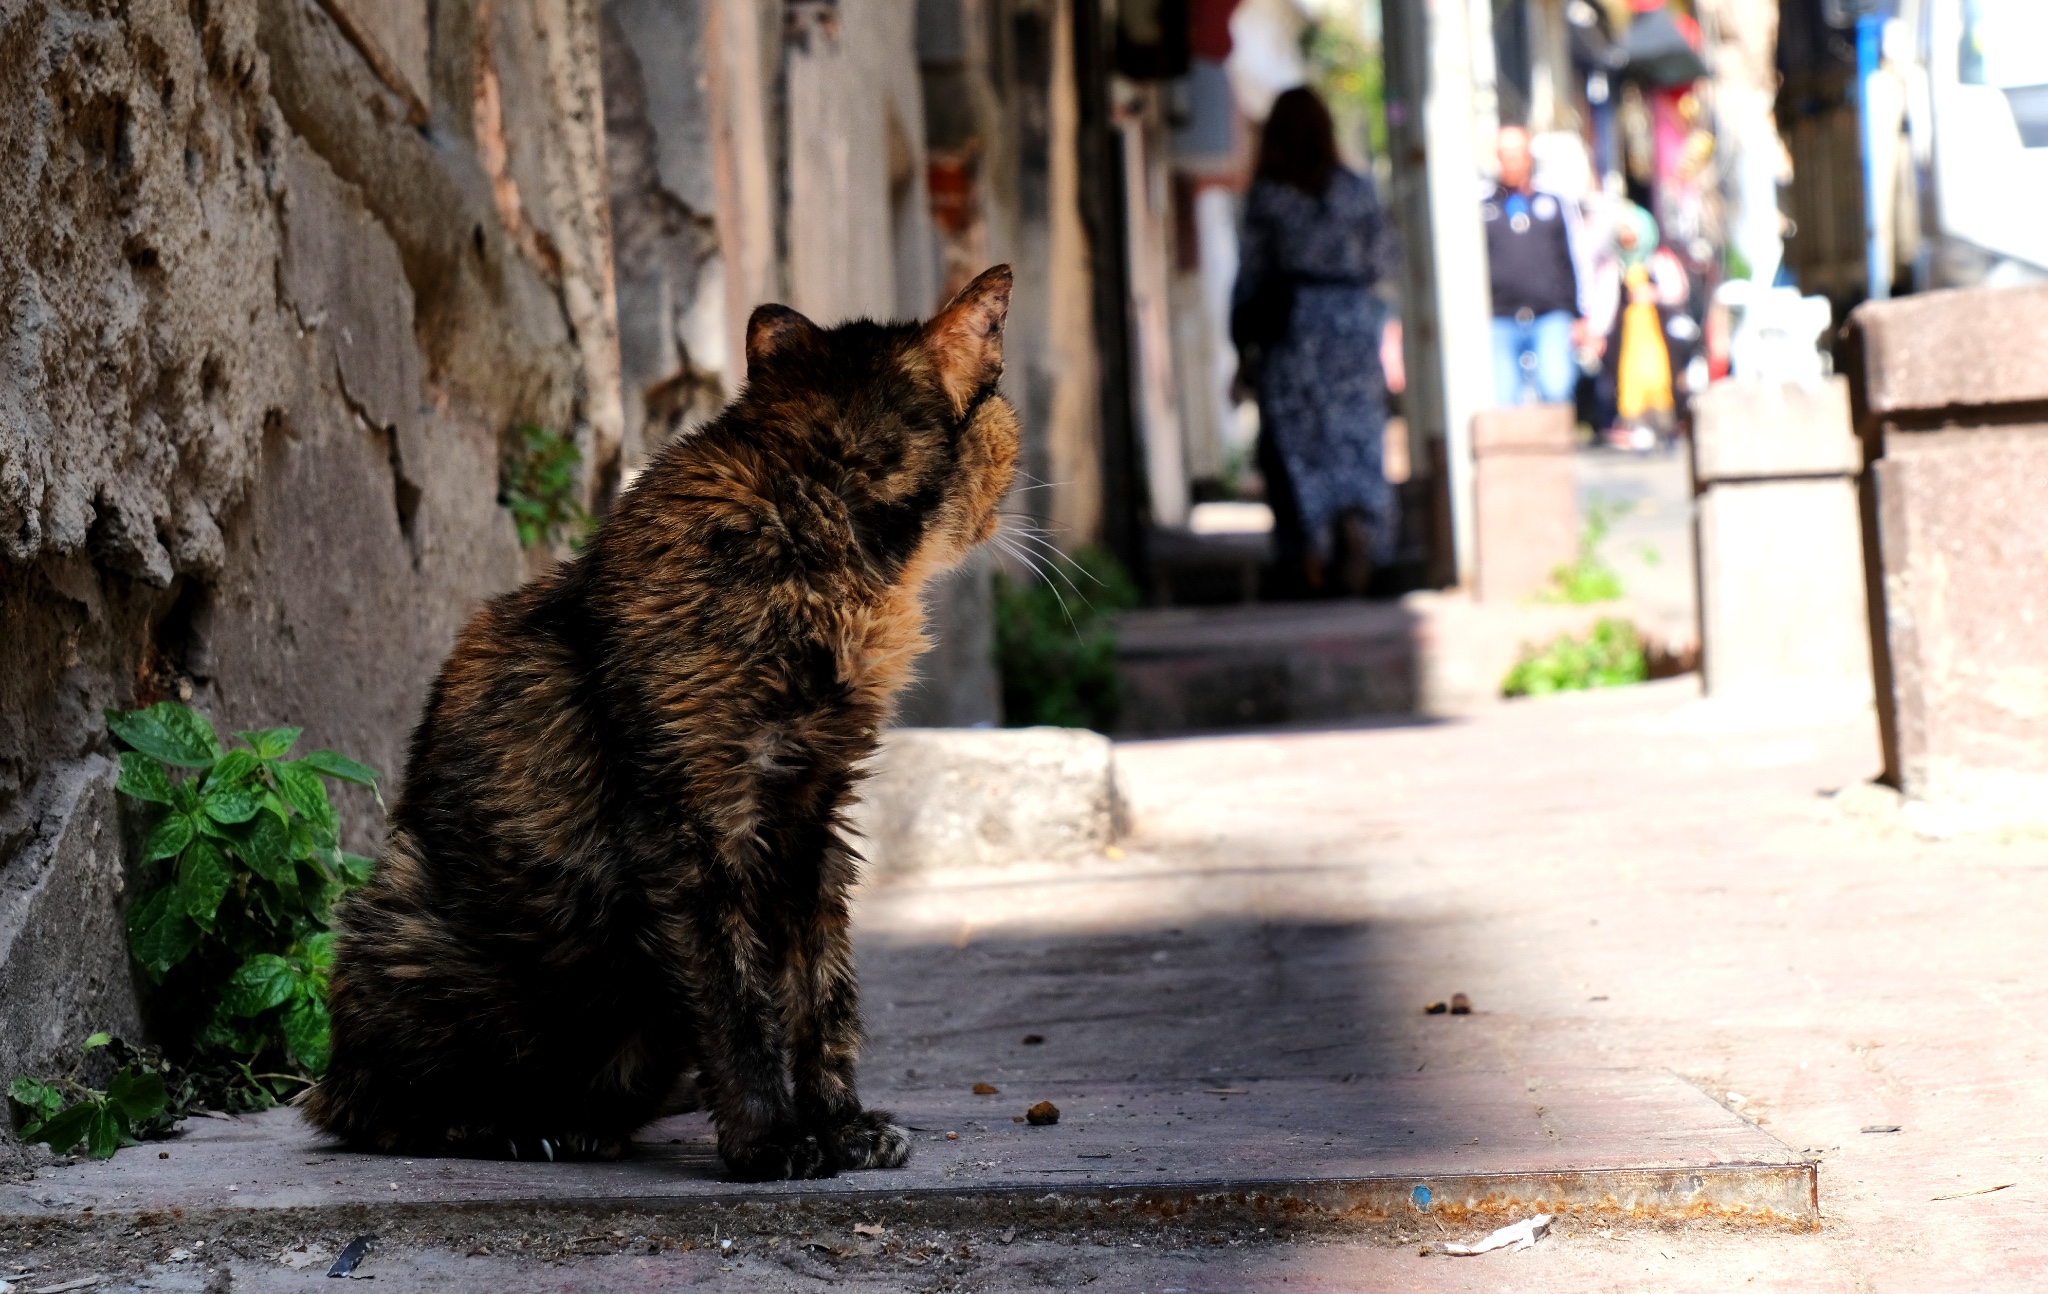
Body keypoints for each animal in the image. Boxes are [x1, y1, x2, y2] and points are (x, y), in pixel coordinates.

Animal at [305, 266, 1024, 1179]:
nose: (1008, 501)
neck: (828, 540)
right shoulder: (691, 820)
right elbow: (736, 997)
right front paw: (772, 1142)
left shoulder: (811, 814)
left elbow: (820, 987)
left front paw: (843, 1124)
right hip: (405, 916)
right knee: (360, 1108)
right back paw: (513, 1127)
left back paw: (584, 1126)